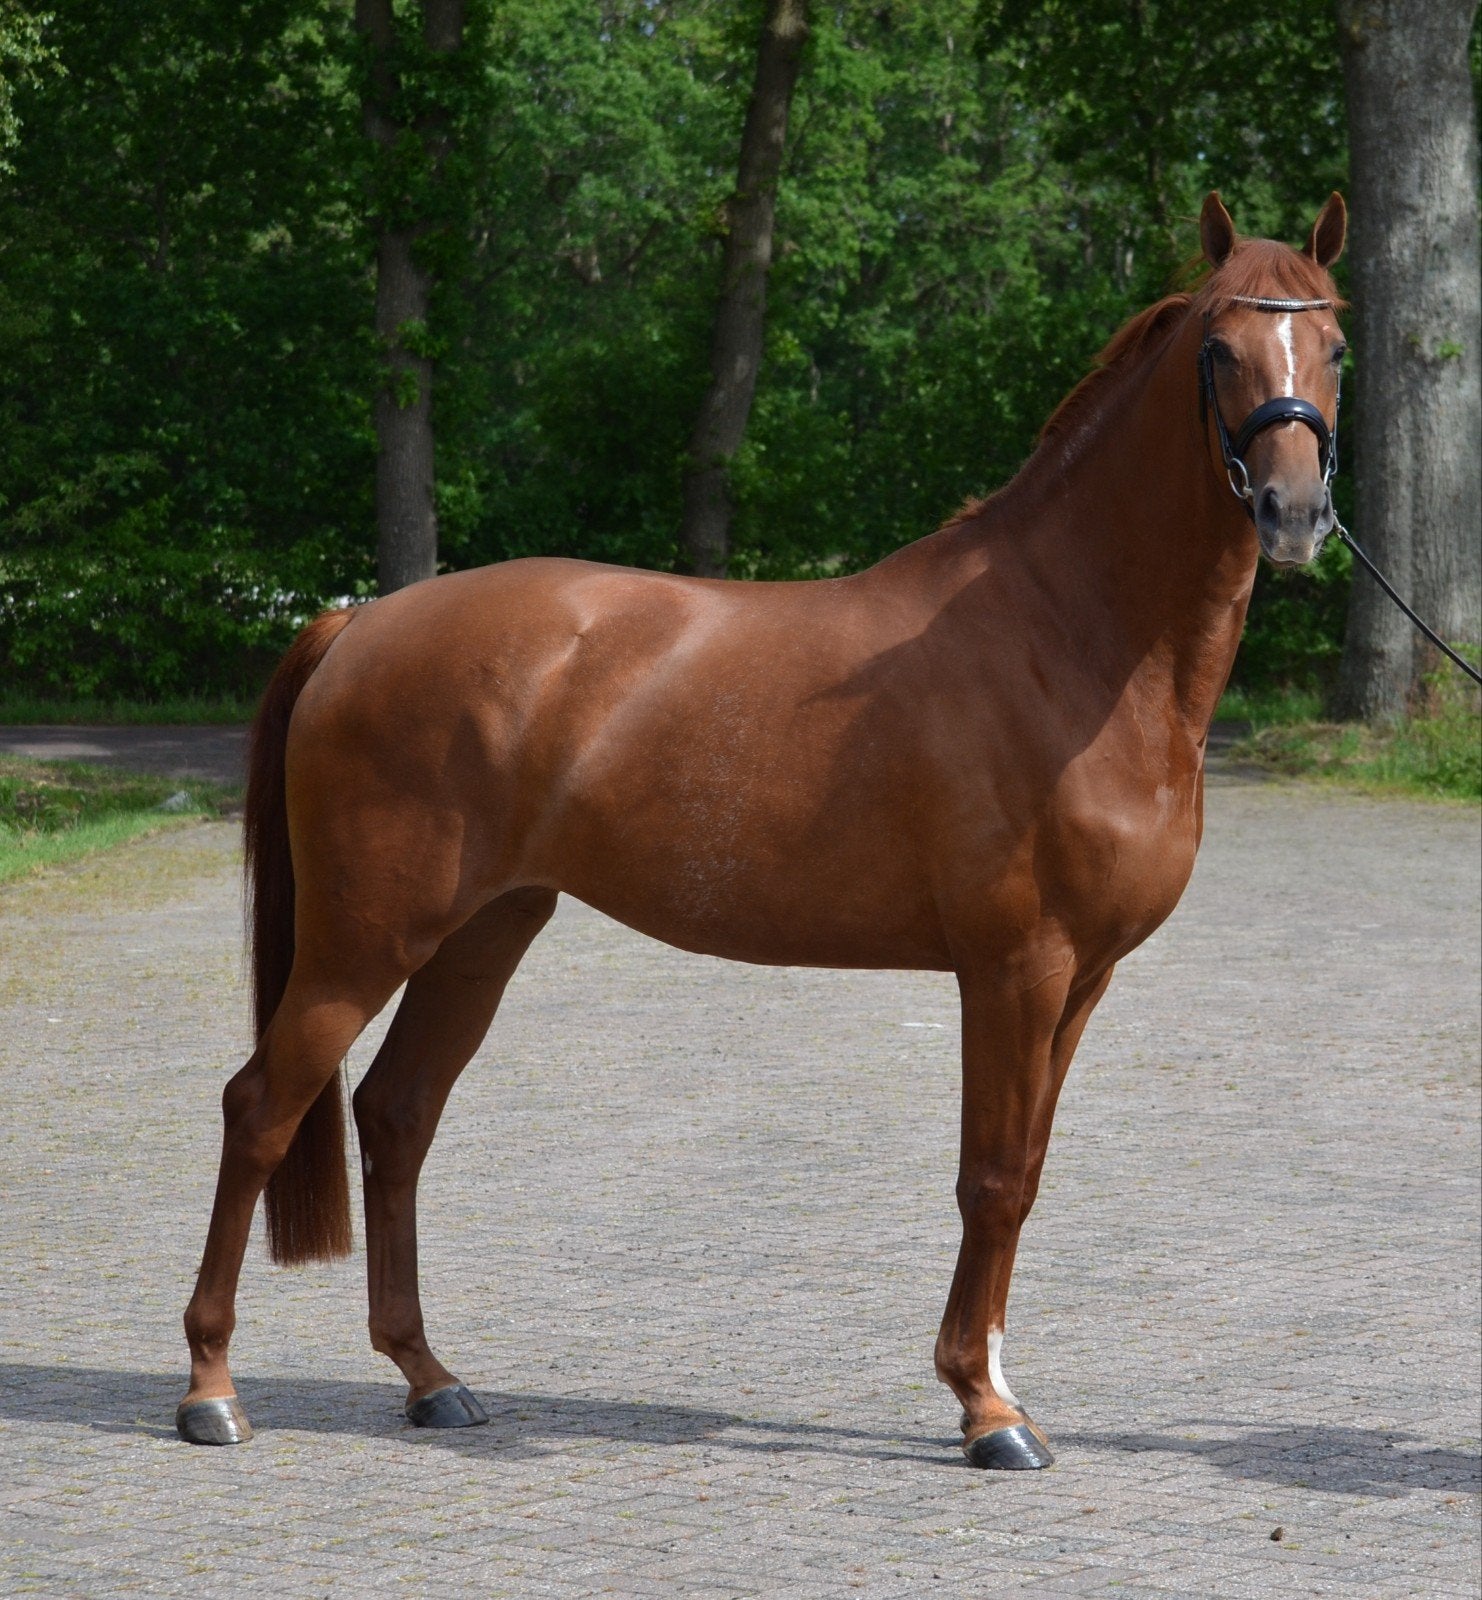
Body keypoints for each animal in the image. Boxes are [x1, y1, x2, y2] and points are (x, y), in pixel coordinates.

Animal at [177, 192, 1349, 1468]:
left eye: (1334, 347)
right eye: (1220, 350)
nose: (1294, 515)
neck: (1068, 640)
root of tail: (361, 620)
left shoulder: (1082, 980)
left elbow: (1027, 1174)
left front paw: (995, 1383)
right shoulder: (1013, 968)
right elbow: (990, 1178)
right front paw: (986, 1411)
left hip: (482, 933)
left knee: (395, 1115)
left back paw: (430, 1376)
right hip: (363, 941)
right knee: (261, 1107)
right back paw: (212, 1388)